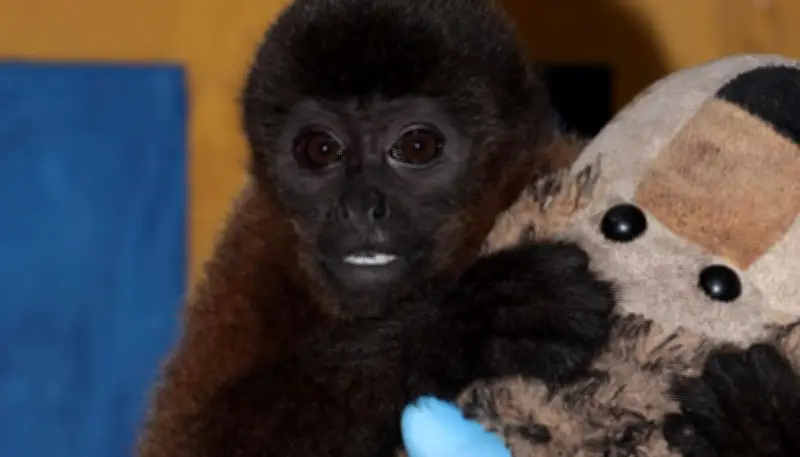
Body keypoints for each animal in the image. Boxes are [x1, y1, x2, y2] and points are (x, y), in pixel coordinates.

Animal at [135, 1, 615, 457]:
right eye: (319, 149)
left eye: (417, 146)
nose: (360, 207)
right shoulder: (252, 252)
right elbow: (190, 439)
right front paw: (469, 321)